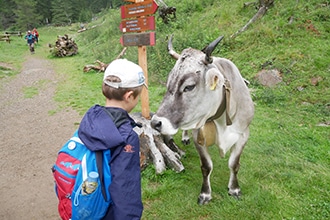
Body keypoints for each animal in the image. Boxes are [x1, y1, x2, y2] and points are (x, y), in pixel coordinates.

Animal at [151, 34, 254, 205]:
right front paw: (205, 194)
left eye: (189, 86)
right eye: (168, 83)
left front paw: (234, 189)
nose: (155, 123)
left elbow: (234, 164)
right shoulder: (198, 136)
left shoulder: (243, 134)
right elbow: (206, 166)